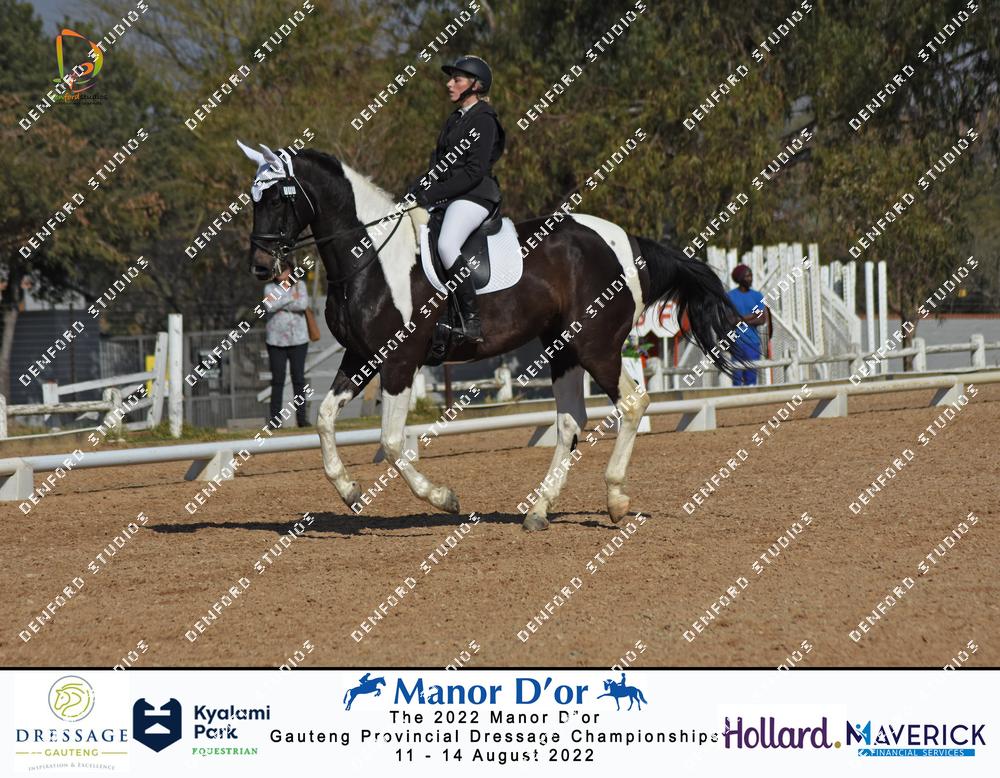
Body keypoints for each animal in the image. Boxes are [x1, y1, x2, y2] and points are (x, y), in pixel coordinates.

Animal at [238, 142, 739, 531]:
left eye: (278, 198)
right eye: (253, 200)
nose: (260, 267)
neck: (371, 257)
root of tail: (625, 242)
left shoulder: (399, 361)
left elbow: (392, 441)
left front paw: (442, 498)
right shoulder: (360, 357)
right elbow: (324, 418)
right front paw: (349, 490)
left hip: (596, 347)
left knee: (632, 403)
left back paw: (615, 500)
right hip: (563, 348)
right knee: (570, 421)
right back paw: (538, 511)